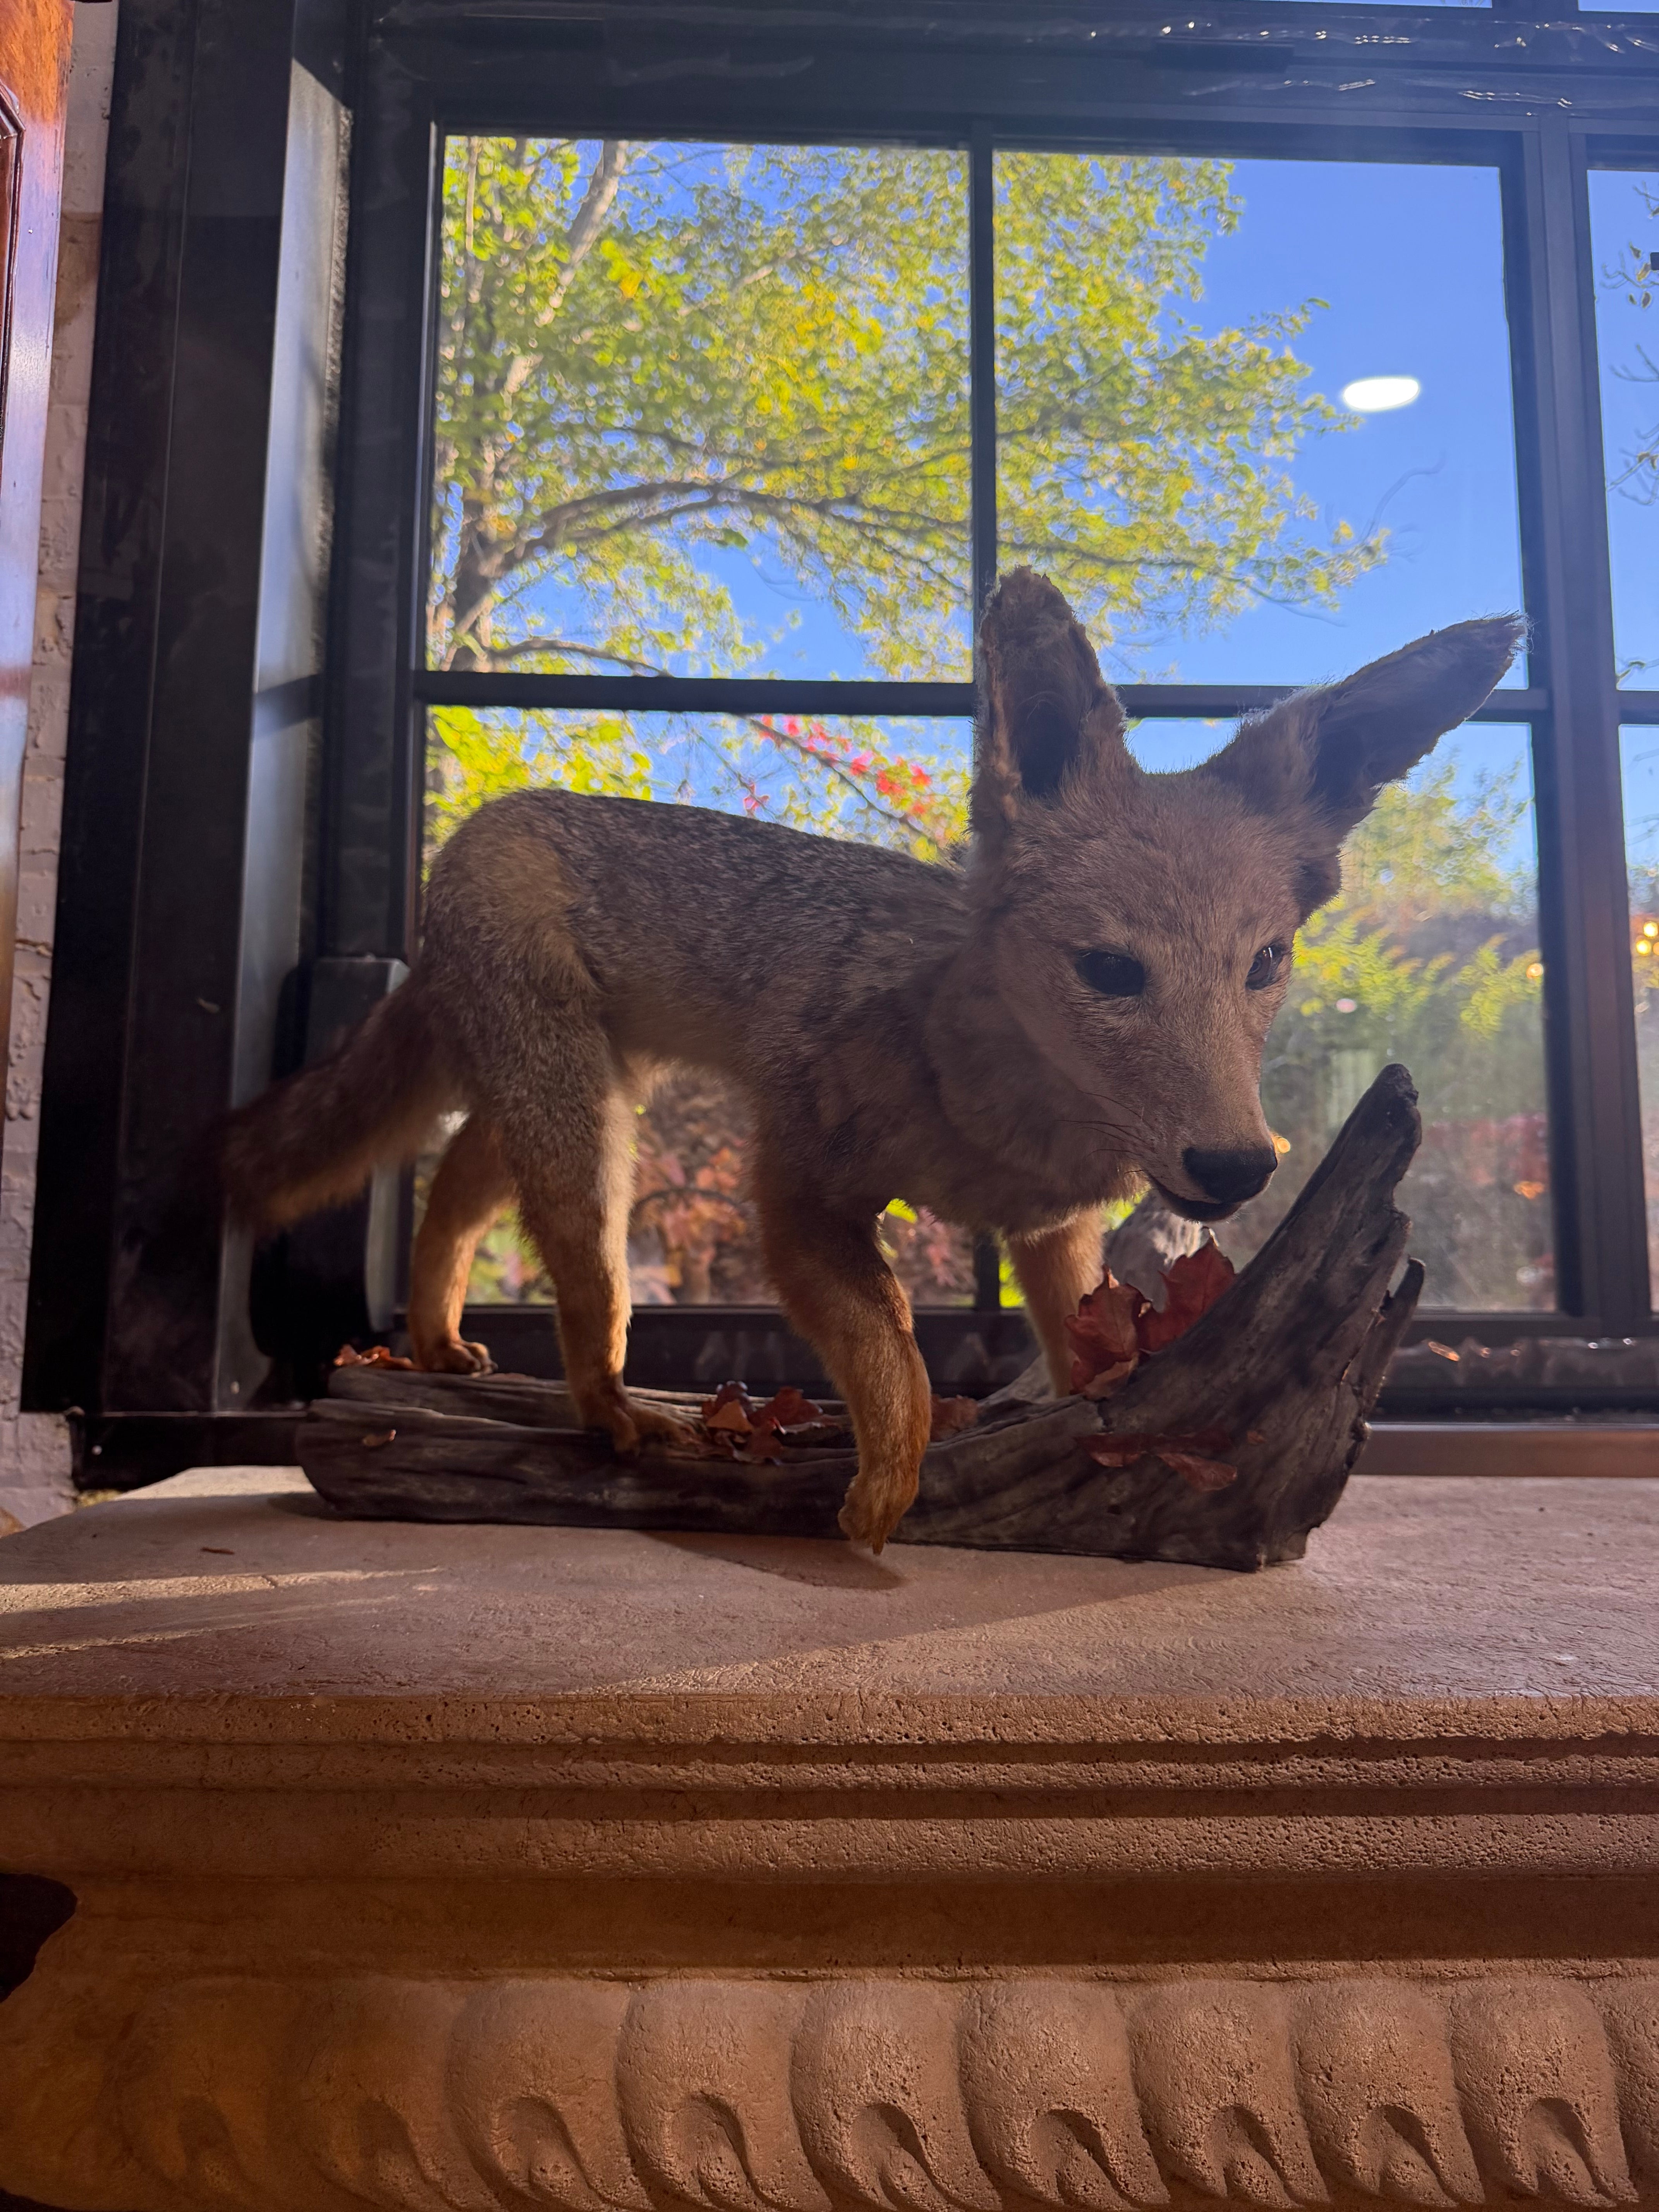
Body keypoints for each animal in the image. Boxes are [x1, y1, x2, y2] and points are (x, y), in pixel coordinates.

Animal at [224, 570, 1522, 1549]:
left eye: (1265, 961)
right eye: (1110, 970)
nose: (1241, 1166)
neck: (997, 1117)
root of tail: (480, 828)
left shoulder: (1052, 1230)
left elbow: (1073, 1346)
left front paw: (1097, 1414)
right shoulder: (797, 1192)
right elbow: (894, 1344)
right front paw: (885, 1486)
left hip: (577, 1100)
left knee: (451, 1188)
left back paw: (437, 1344)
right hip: (583, 1138)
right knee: (585, 1285)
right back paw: (608, 1409)